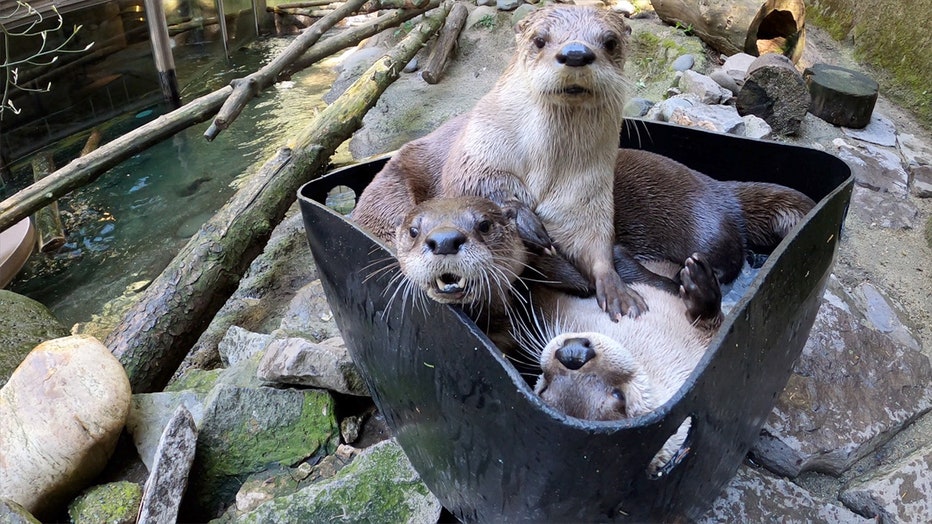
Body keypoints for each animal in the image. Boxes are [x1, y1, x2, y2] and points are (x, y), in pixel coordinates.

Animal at [352, 5, 640, 320]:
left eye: (610, 42)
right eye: (540, 40)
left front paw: (616, 289)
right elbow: (476, 183)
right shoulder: (478, 148)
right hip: (388, 198)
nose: (576, 53)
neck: (548, 163)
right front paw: (524, 219)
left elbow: (591, 239)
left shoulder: (586, 190)